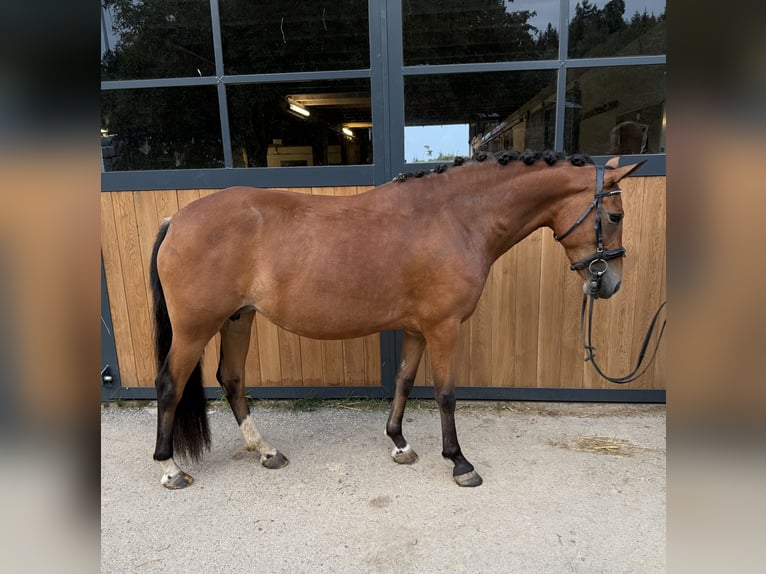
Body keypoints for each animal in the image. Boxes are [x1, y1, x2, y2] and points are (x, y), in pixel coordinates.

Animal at [149, 149, 645, 489]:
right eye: (615, 215)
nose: (611, 283)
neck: (455, 218)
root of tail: (177, 219)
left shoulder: (415, 328)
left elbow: (405, 381)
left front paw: (400, 444)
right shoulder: (444, 327)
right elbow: (446, 395)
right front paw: (460, 463)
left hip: (238, 317)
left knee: (231, 378)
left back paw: (265, 451)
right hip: (195, 328)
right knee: (170, 385)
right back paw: (170, 468)